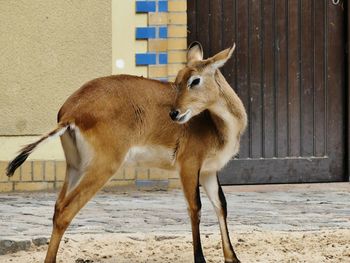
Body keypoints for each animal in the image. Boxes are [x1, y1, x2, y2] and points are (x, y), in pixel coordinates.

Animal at [5, 42, 246, 262]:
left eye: (194, 80)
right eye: (178, 81)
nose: (175, 113)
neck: (218, 126)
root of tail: (69, 113)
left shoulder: (208, 171)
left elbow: (221, 205)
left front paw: (233, 258)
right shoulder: (188, 165)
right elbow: (195, 207)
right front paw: (200, 258)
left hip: (74, 167)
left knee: (57, 207)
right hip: (103, 167)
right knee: (66, 209)